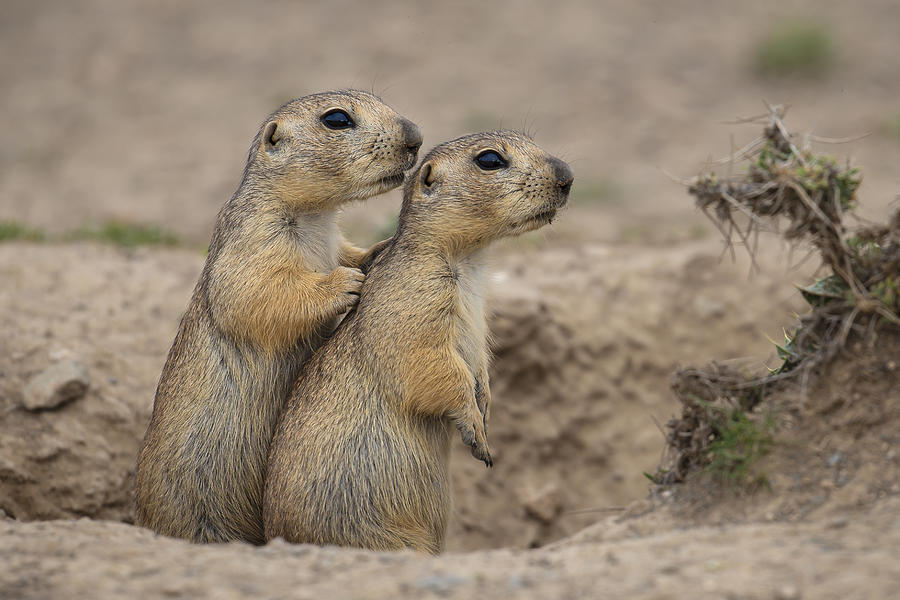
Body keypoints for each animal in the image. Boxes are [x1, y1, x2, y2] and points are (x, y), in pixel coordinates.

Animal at [135, 91, 424, 548]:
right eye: (337, 119)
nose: (415, 136)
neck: (317, 216)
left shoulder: (332, 238)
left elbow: (347, 251)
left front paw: (376, 250)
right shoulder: (255, 236)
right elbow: (254, 291)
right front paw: (343, 283)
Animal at [264, 130, 572, 552]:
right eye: (489, 160)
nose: (568, 176)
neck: (468, 263)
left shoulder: (478, 317)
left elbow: (479, 365)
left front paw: (486, 406)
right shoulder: (417, 303)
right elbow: (433, 366)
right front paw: (477, 435)